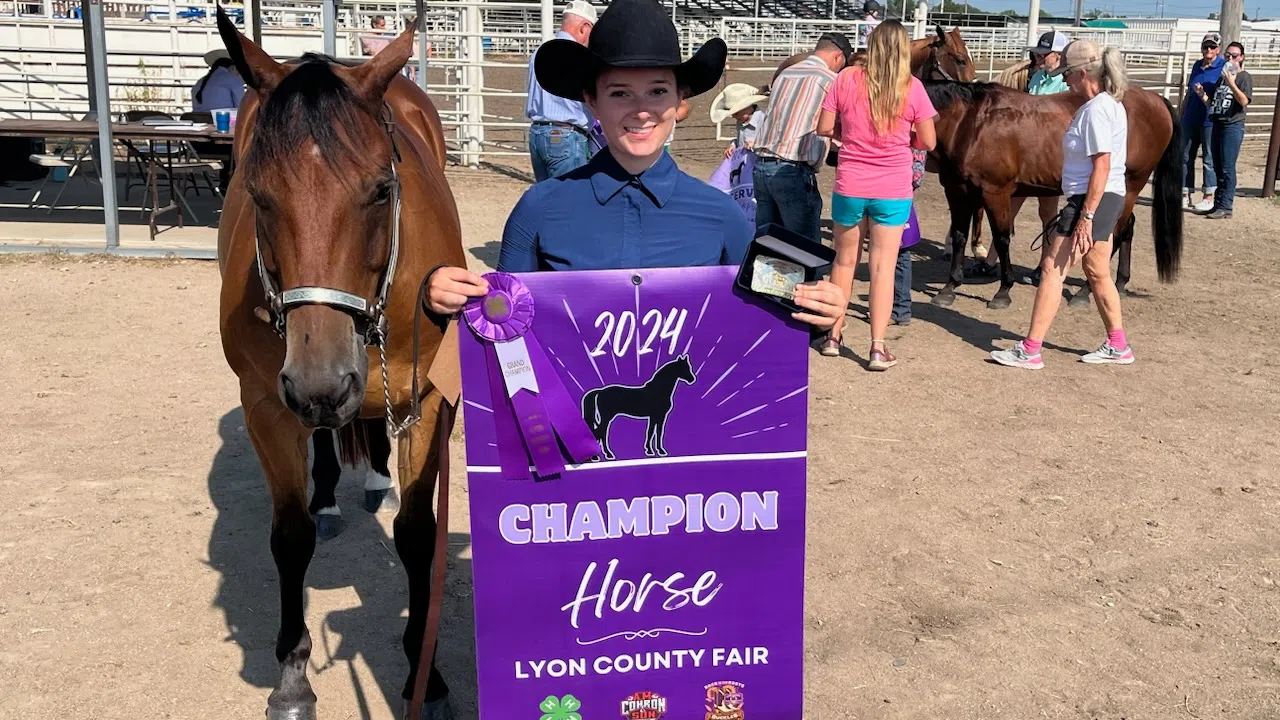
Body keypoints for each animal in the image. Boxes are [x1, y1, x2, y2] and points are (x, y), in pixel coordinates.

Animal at [213, 7, 465, 717]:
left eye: (381, 190)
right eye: (258, 195)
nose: (320, 383)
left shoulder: (426, 401)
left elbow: (418, 532)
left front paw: (426, 676)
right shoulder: (266, 404)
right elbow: (289, 534)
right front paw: (293, 676)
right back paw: (328, 492)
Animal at [926, 79, 1182, 308]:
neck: (970, 125)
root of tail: (1156, 99)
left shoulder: (995, 193)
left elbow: (1002, 239)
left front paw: (1003, 291)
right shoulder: (957, 191)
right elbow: (959, 236)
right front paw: (949, 288)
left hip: (1130, 186)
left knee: (1115, 234)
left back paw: (1084, 292)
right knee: (1127, 228)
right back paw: (1119, 282)